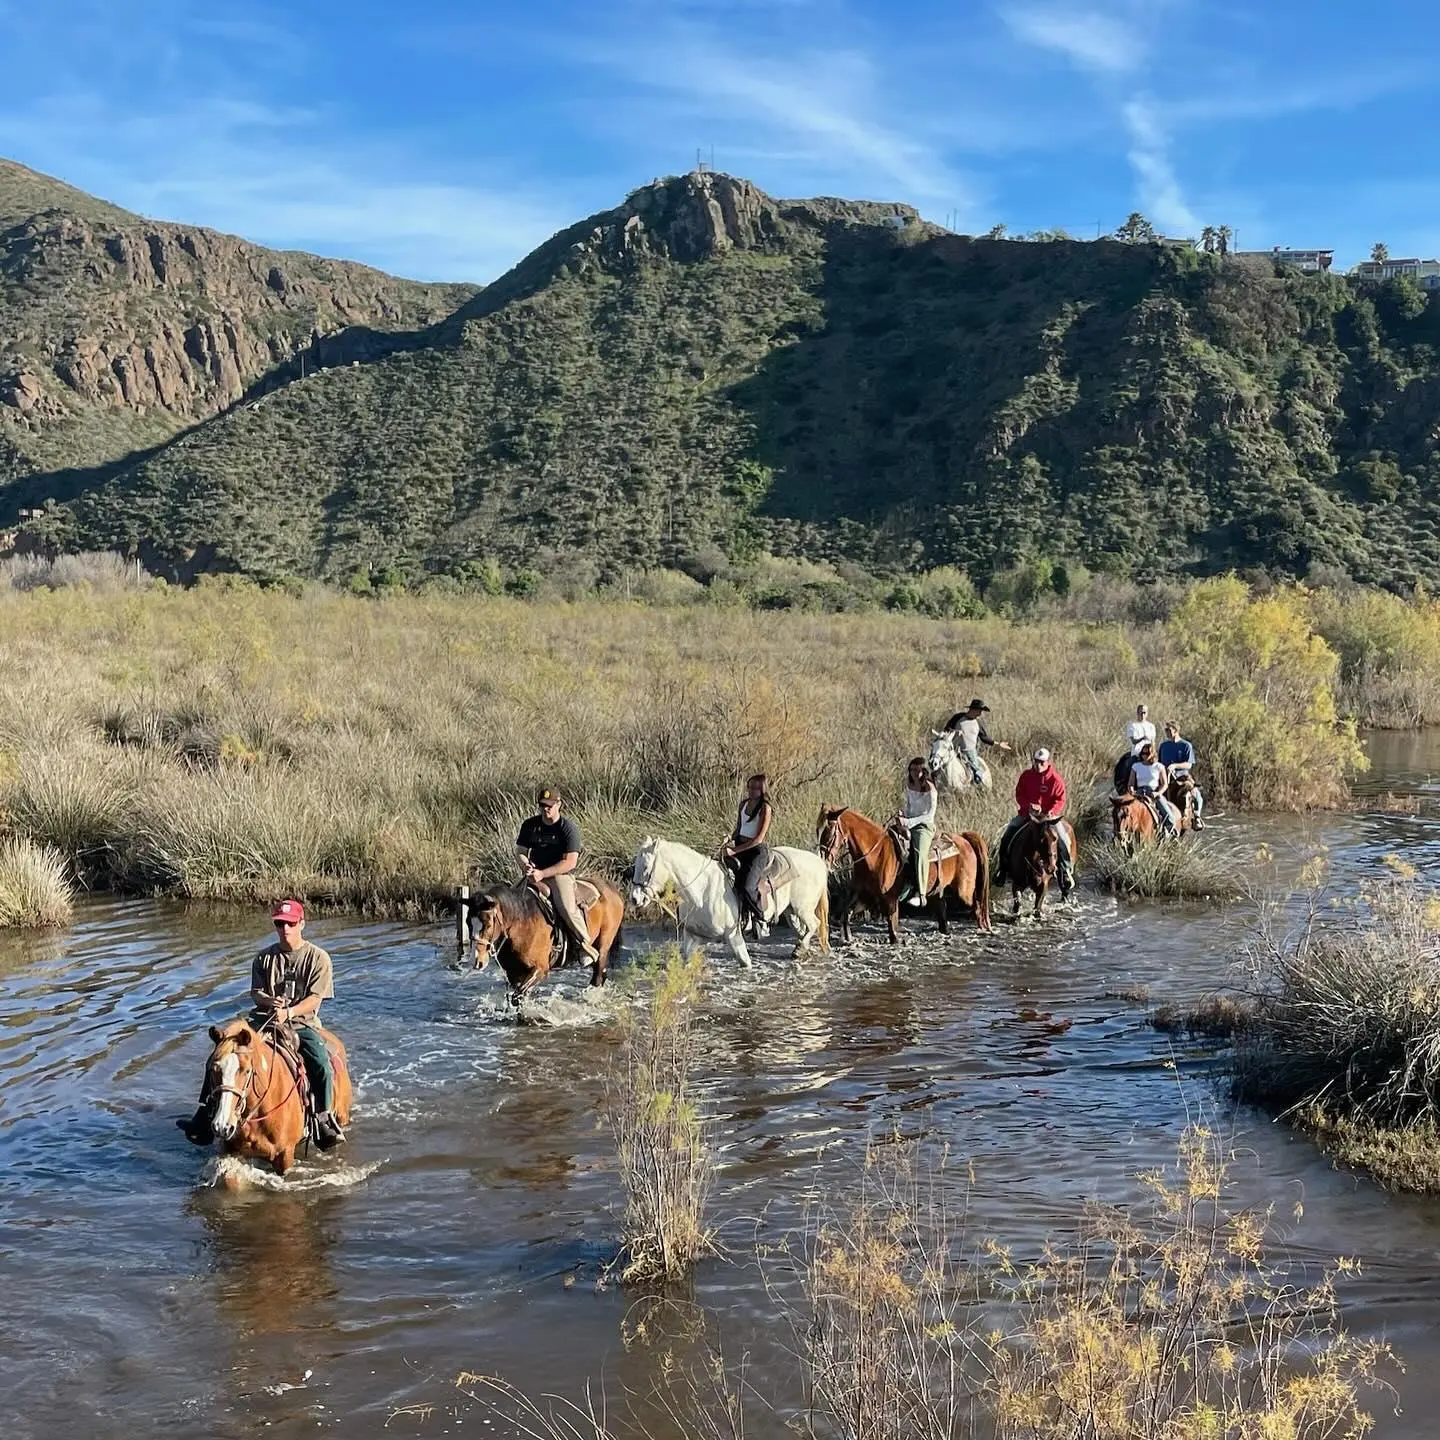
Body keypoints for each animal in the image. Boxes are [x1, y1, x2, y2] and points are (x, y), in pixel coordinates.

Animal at [201, 1017, 353, 1180]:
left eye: (246, 1070)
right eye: (213, 1069)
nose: (222, 1126)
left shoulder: (284, 1156)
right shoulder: (230, 1151)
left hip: (342, 1116)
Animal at [469, 878, 625, 999]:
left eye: (488, 924)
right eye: (468, 923)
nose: (478, 961)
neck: (522, 921)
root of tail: (612, 889)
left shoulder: (540, 969)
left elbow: (517, 997)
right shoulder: (514, 974)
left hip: (603, 945)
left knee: (597, 977)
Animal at [628, 837, 830, 965]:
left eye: (646, 868)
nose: (635, 898)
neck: (702, 891)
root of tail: (818, 861)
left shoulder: (733, 935)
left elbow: (745, 963)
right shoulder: (692, 934)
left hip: (802, 908)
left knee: (815, 924)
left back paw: (799, 950)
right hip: (791, 912)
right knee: (803, 930)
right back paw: (802, 950)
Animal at [816, 806, 991, 944]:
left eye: (829, 831)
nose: (823, 859)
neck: (875, 854)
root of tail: (963, 838)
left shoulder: (890, 899)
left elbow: (892, 928)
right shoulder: (864, 896)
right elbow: (846, 913)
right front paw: (848, 938)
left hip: (964, 891)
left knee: (977, 906)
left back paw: (983, 927)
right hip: (938, 892)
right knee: (943, 912)